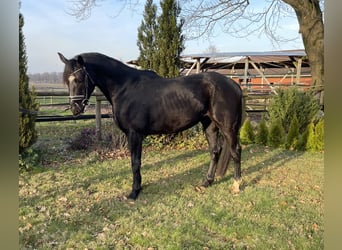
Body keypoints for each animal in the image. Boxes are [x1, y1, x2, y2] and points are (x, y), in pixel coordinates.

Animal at [57, 52, 242, 199]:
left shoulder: (135, 134)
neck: (125, 87)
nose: (75, 108)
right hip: (209, 124)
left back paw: (237, 185)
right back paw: (207, 182)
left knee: (235, 151)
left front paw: (134, 192)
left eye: (79, 79)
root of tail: (234, 84)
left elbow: (135, 162)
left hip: (227, 127)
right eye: (66, 81)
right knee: (215, 151)